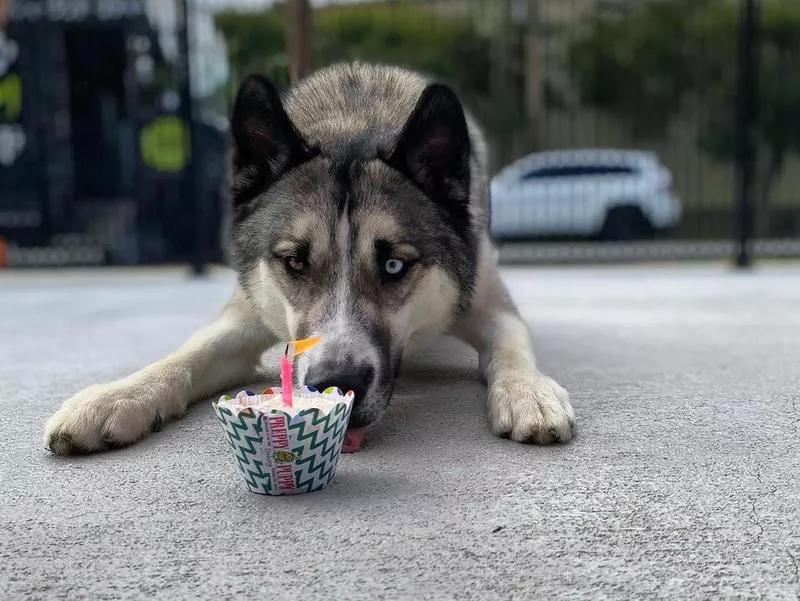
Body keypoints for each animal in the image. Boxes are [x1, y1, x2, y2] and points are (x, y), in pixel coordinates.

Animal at [43, 62, 576, 454]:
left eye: (394, 266)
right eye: (294, 262)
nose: (336, 384)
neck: (354, 124)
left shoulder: (486, 301)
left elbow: (510, 346)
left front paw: (529, 391)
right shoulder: (246, 310)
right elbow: (187, 355)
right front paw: (118, 396)